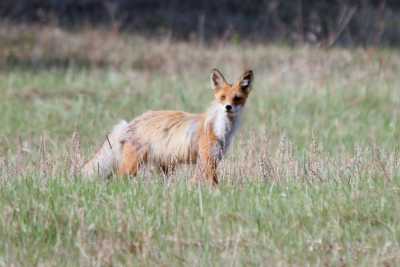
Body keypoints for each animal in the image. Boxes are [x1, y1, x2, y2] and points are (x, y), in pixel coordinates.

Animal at [82, 68, 253, 186]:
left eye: (237, 98)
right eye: (222, 97)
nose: (228, 107)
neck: (220, 130)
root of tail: (131, 122)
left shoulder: (212, 160)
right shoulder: (207, 160)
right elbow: (213, 184)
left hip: (166, 167)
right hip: (133, 166)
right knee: (118, 179)